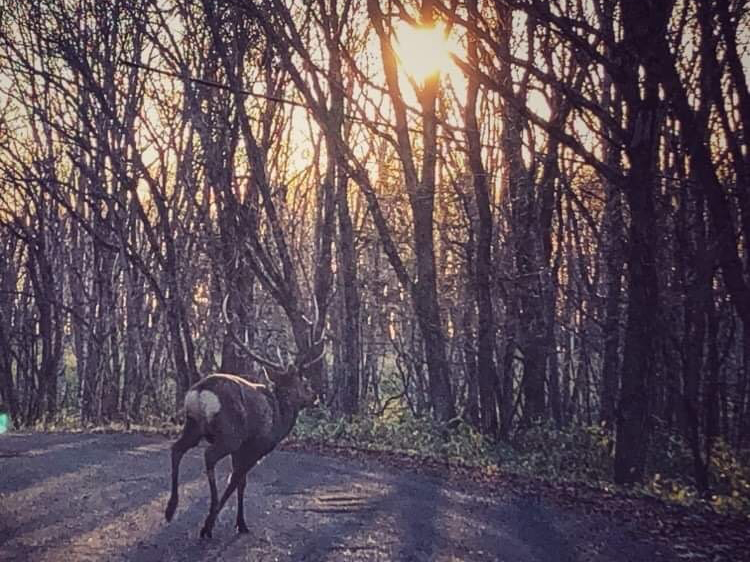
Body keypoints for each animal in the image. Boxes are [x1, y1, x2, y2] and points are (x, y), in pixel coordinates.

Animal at [164, 301, 324, 538]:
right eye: (303, 382)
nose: (314, 396)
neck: (279, 419)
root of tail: (200, 392)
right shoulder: (255, 446)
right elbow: (237, 480)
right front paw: (224, 522)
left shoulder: (242, 450)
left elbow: (241, 483)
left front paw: (240, 523)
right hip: (230, 434)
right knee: (208, 456)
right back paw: (208, 520)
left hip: (193, 425)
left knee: (177, 449)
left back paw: (171, 508)